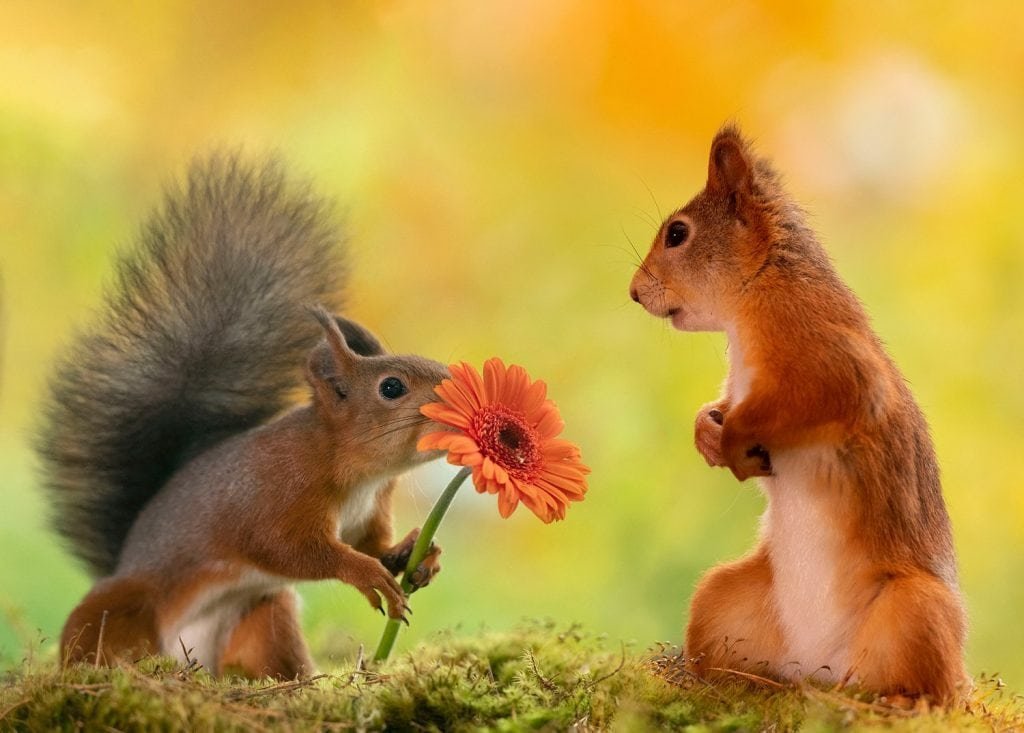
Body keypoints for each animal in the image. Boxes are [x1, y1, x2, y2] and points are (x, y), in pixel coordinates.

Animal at [38, 154, 451, 679]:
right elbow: (289, 549)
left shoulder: (368, 514)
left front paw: (419, 553)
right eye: (392, 387)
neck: (357, 471)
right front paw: (365, 574)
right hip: (125, 605)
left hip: (262, 614)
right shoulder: (274, 496)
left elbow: (373, 545)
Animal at [629, 125, 967, 702]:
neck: (753, 296)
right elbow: (719, 407)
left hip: (915, 609)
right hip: (721, 599)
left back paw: (902, 700)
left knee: (934, 685)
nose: (633, 292)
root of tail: (821, 667)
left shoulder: (825, 354)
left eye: (677, 233)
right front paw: (706, 434)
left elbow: (810, 399)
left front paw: (734, 443)